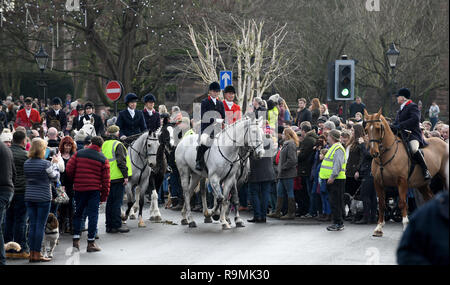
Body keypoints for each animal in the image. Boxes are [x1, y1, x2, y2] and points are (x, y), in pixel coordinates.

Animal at [364, 107, 448, 236]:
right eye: (367, 129)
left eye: (378, 128)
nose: (374, 153)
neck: (385, 156)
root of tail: (443, 142)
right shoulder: (378, 182)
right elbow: (382, 204)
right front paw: (379, 227)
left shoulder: (402, 181)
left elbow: (403, 202)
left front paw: (405, 224)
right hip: (422, 184)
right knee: (430, 199)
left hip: (444, 178)